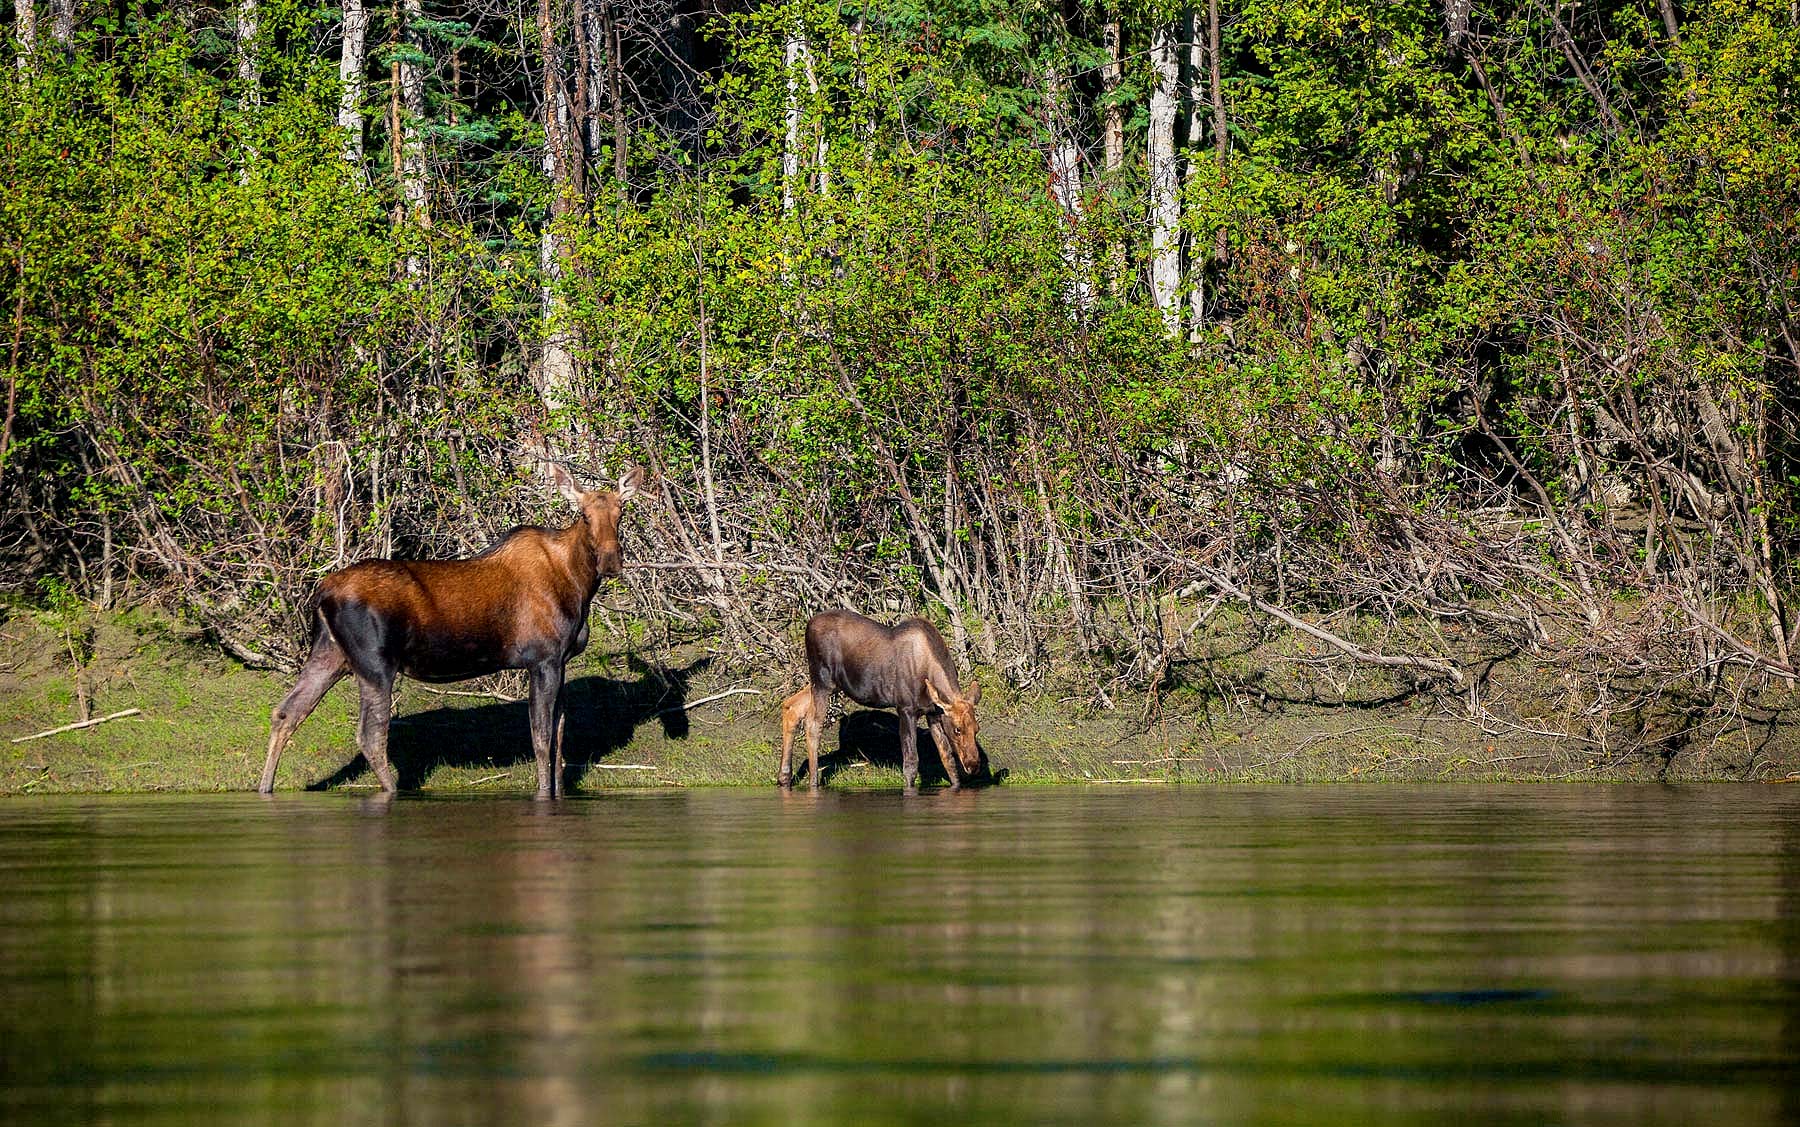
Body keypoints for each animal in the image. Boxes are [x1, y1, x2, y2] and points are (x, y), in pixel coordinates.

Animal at [257, 464, 644, 799]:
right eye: (584, 515)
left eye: (621, 511)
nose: (611, 562)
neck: (579, 584)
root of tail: (322, 592)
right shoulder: (543, 659)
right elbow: (542, 736)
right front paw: (543, 793)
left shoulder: (560, 661)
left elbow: (561, 734)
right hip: (375, 664)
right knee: (370, 734)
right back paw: (395, 792)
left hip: (330, 653)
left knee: (286, 712)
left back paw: (265, 787)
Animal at [781, 608, 986, 784]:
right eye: (958, 729)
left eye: (977, 729)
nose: (974, 765)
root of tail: (808, 625)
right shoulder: (906, 709)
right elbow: (911, 764)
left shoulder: (933, 713)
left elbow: (948, 760)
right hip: (822, 681)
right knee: (812, 723)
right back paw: (813, 783)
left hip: (828, 683)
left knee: (791, 706)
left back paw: (784, 778)